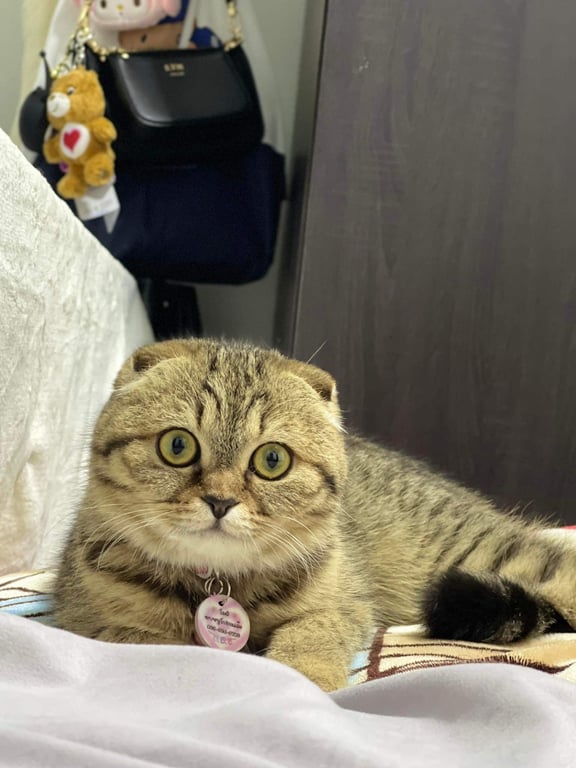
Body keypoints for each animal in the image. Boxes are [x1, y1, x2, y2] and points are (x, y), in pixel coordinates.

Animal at [53, 338, 576, 691]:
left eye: (272, 460)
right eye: (177, 446)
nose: (220, 501)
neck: (221, 584)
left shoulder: (343, 605)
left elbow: (310, 635)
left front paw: (303, 679)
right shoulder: (94, 623)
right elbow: (154, 645)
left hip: (483, 555)